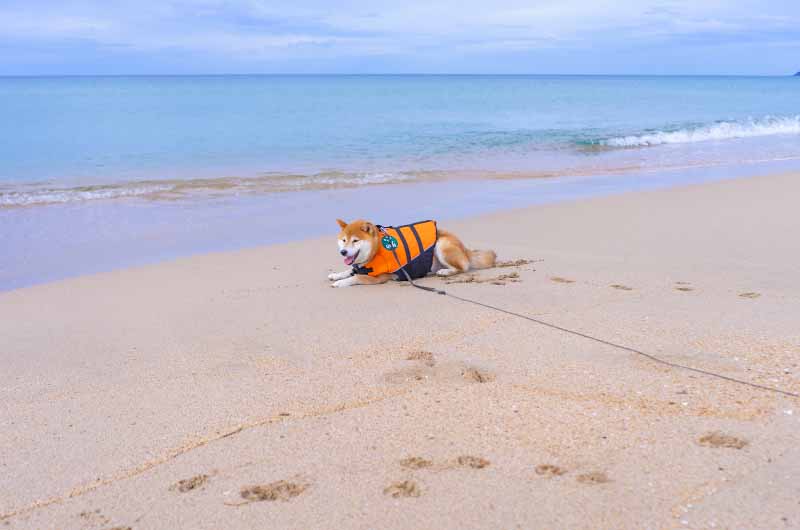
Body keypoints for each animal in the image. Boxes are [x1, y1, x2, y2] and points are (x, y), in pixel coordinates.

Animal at [326, 218, 494, 286]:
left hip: (441, 245)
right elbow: (350, 271)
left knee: (463, 267)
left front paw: (340, 283)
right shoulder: (359, 267)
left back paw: (445, 272)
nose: (343, 252)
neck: (376, 250)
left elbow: (356, 277)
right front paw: (336, 275)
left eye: (355, 241)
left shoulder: (380, 277)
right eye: (343, 240)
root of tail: (464, 249)